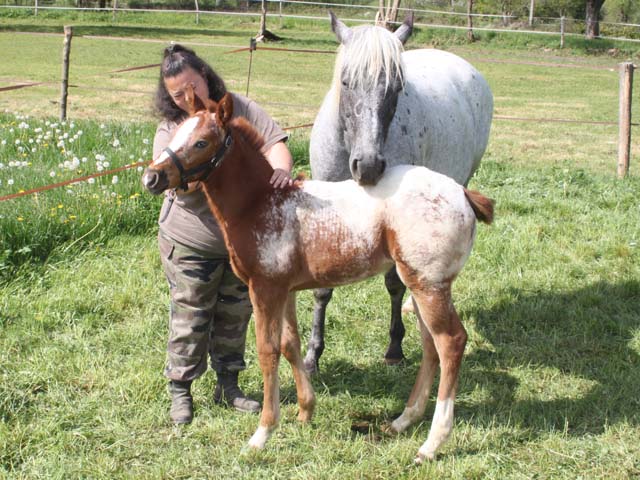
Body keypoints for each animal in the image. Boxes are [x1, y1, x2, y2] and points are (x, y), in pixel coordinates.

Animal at [142, 92, 496, 464]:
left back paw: (431, 444)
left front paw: (262, 434)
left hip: (430, 286)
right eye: (176, 133)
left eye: (201, 142)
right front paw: (305, 411)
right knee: (431, 347)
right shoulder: (286, 289)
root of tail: (462, 194)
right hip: (418, 284)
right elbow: (290, 343)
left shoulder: (264, 289)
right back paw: (402, 421)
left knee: (451, 341)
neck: (260, 203)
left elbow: (267, 350)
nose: (152, 178)